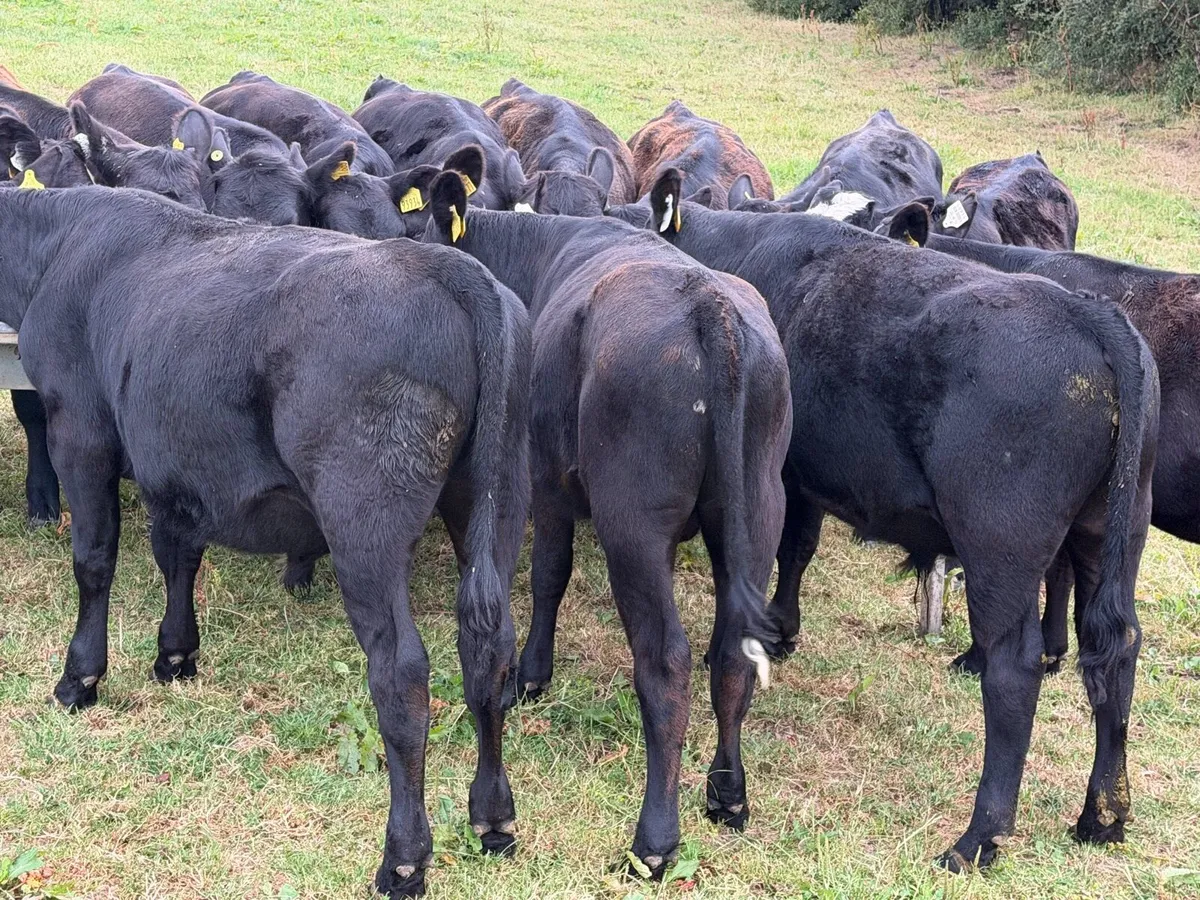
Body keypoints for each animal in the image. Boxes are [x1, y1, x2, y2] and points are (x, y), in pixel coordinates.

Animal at [0, 184, 531, 898]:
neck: (56, 242)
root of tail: (447, 266)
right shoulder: (179, 461)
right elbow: (177, 554)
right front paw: (175, 656)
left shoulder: (79, 429)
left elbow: (93, 560)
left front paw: (80, 678)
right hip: (496, 499)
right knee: (488, 651)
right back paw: (493, 819)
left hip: (363, 520)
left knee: (401, 673)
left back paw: (403, 858)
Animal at [421, 157, 792, 876]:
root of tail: (710, 306)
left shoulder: (546, 479)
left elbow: (549, 575)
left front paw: (532, 675)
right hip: (759, 513)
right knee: (733, 653)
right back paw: (727, 793)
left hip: (633, 525)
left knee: (666, 662)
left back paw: (654, 839)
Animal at [633, 170, 1158, 872]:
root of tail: (1094, 313)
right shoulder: (806, 470)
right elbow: (798, 549)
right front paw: (785, 628)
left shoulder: (785, 470)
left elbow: (791, 546)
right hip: (1108, 534)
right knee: (1114, 648)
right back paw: (1102, 816)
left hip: (1002, 544)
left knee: (1014, 669)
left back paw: (976, 839)